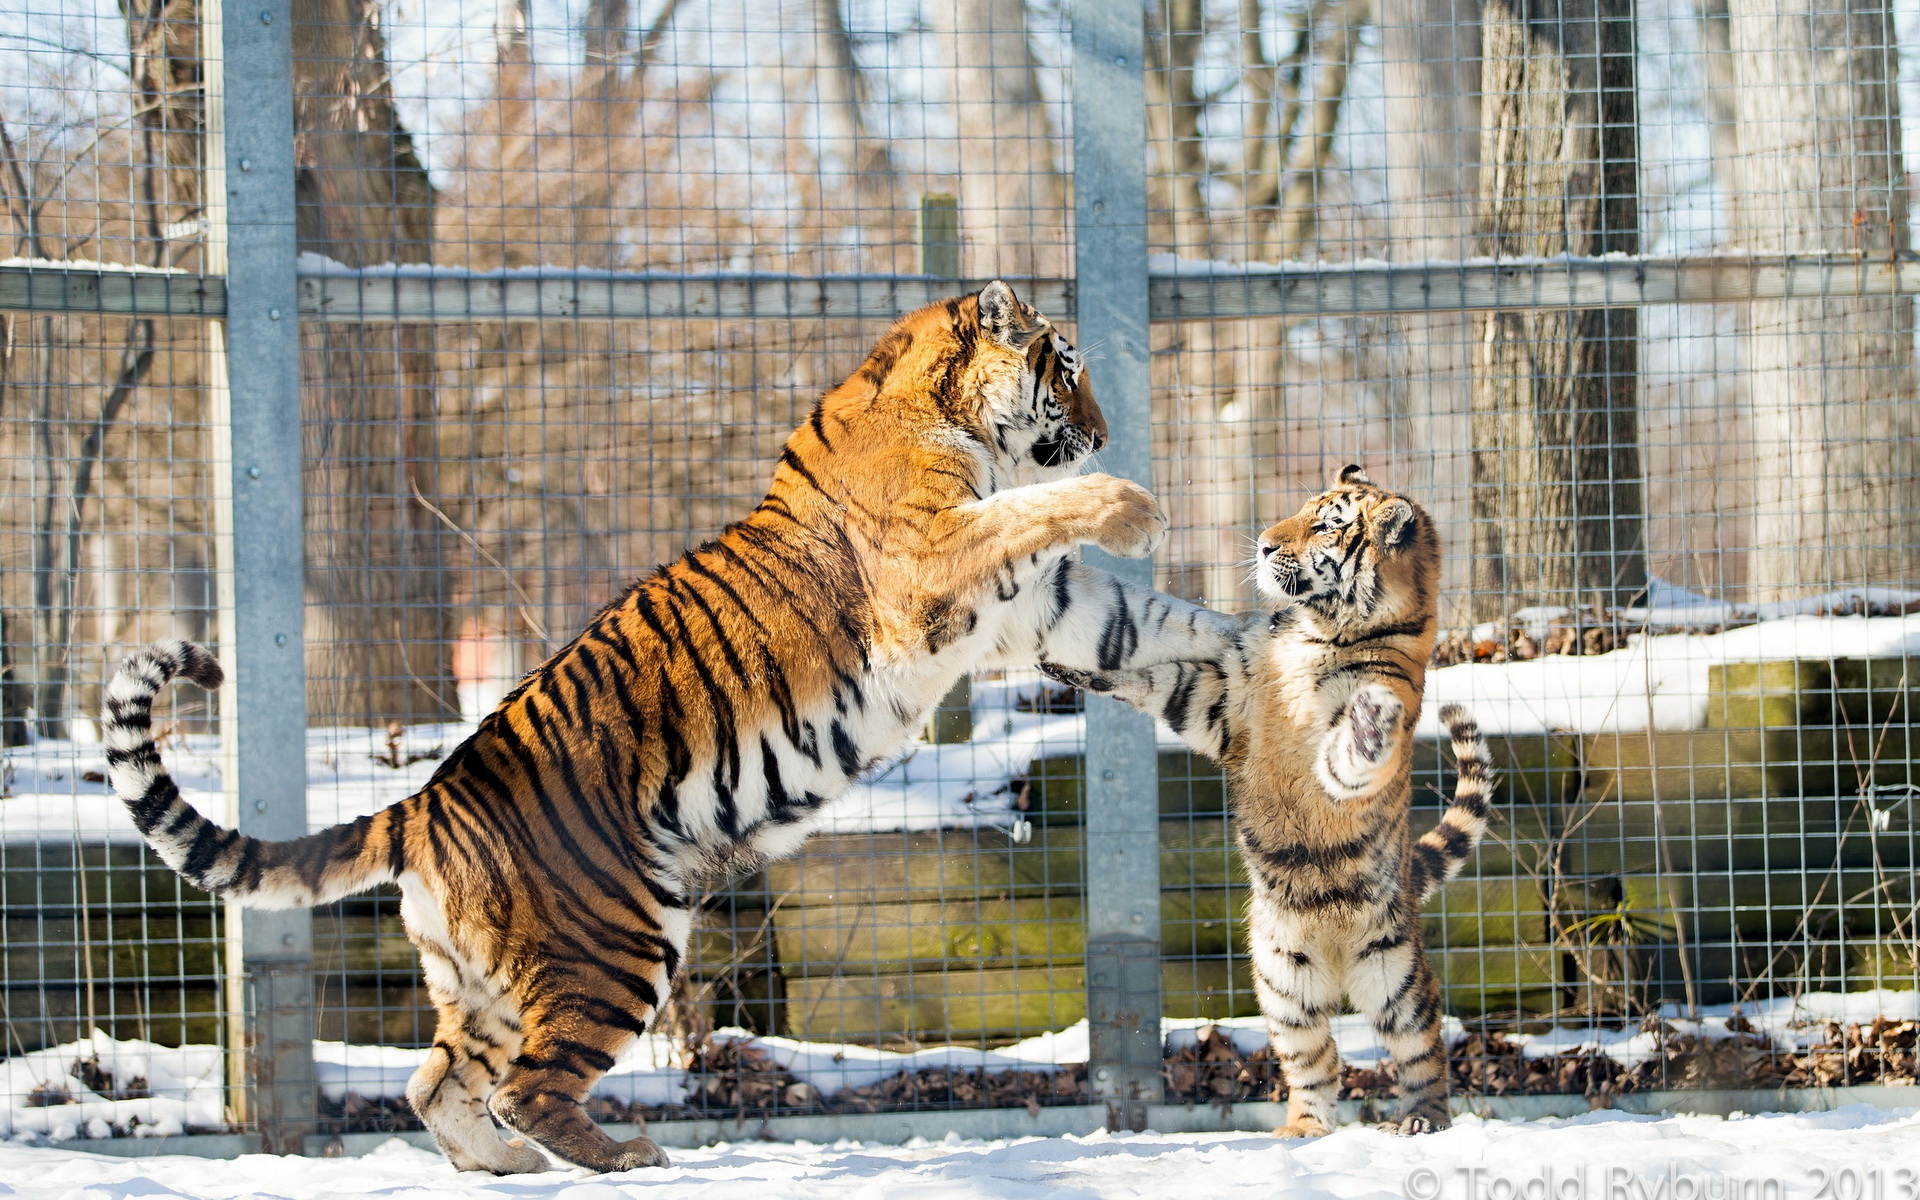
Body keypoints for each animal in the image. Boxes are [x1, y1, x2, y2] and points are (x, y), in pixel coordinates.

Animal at [105, 282, 1244, 1167]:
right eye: (1068, 366)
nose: (1104, 431)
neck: (951, 416)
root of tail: (424, 801)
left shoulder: (1042, 610)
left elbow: (1161, 625)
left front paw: (1254, 640)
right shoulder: (935, 563)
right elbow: (1037, 514)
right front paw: (1138, 505)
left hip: (483, 981)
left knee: (439, 1085)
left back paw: (505, 1169)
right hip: (620, 941)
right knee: (525, 1086)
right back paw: (617, 1157)